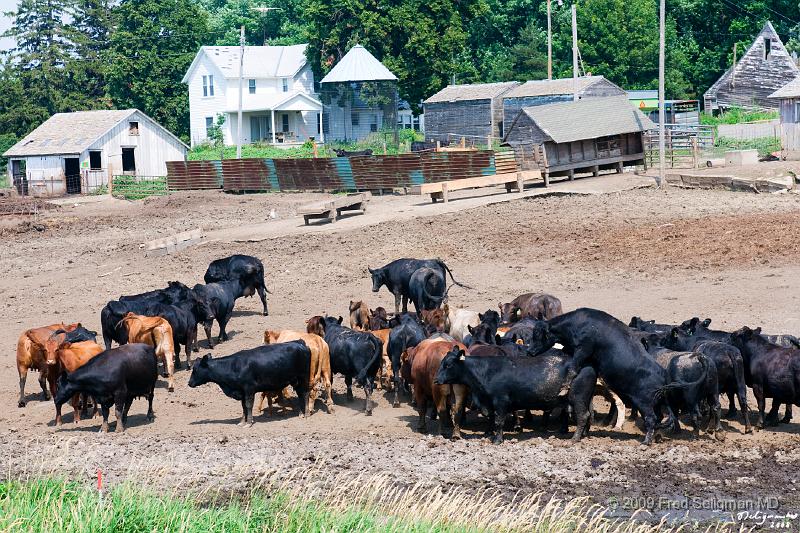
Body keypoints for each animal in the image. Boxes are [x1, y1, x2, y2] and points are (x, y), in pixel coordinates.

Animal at [434, 344, 596, 440]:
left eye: (448, 365)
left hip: (578, 398)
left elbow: (499, 421)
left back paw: (575, 438)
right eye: (441, 362)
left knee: (583, 416)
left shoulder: (501, 401)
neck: (486, 370)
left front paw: (498, 440)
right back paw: (584, 434)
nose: (436, 380)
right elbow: (492, 419)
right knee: (589, 414)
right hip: (586, 398)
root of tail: (588, 366)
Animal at [548, 308, 708, 444]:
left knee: (653, 419)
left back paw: (646, 441)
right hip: (656, 402)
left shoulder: (584, 348)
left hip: (645, 402)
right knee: (660, 418)